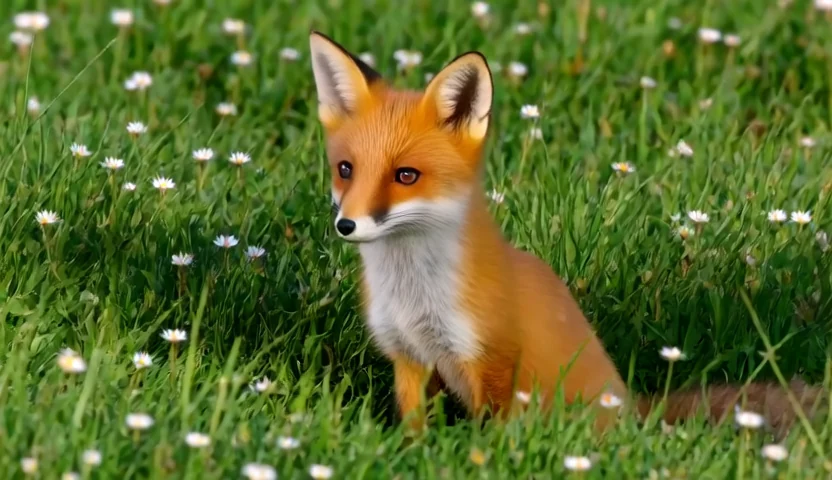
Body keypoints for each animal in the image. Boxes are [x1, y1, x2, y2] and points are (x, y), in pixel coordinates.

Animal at [308, 30, 824, 436]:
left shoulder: (492, 359)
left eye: (406, 176)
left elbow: (488, 434)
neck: (414, 296)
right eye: (346, 169)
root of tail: (632, 409)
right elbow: (415, 430)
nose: (346, 225)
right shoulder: (409, 358)